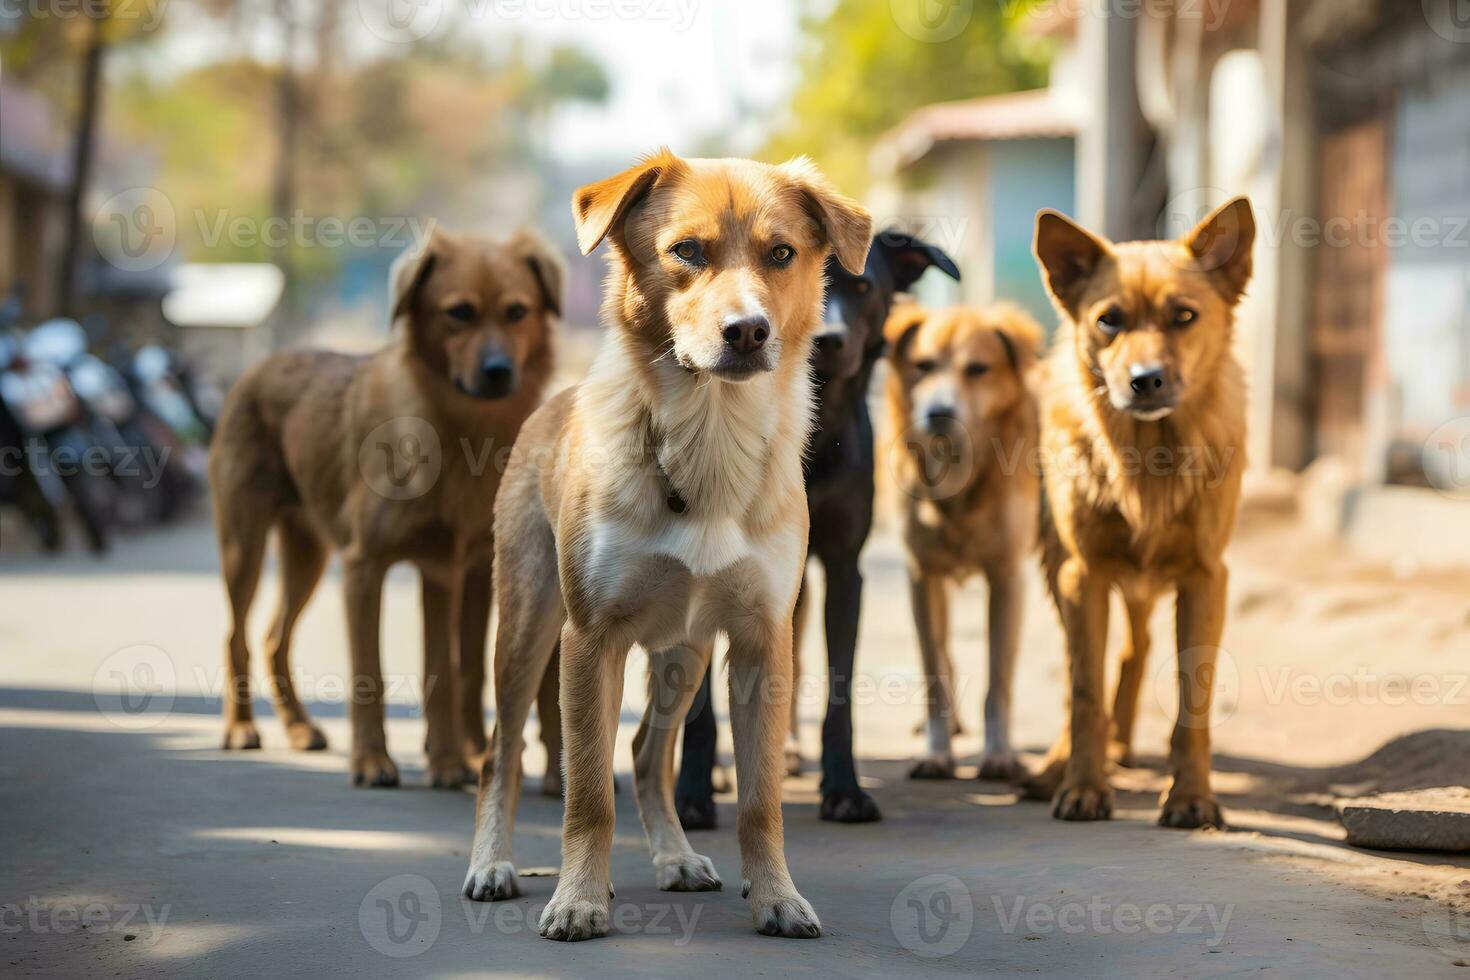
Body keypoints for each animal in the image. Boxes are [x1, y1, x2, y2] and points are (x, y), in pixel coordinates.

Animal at [210, 226, 564, 787]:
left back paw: (299, 729)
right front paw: (373, 761)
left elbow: (450, 671)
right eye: (458, 312)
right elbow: (368, 674)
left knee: (272, 639)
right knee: (236, 638)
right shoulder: (364, 567)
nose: (497, 372)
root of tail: (266, 362)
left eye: (517, 311)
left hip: (307, 556)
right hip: (243, 546)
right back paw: (241, 728)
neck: (462, 438)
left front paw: (448, 764)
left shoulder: (449, 570)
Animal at [461, 147, 870, 940]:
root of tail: (554, 399)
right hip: (526, 628)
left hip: (685, 655)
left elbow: (759, 801)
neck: (708, 440)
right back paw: (492, 865)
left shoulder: (762, 641)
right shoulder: (591, 640)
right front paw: (579, 899)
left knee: (649, 754)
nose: (748, 331)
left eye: (782, 254)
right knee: (502, 753)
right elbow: (589, 792)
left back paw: (675, 857)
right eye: (686, 251)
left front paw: (776, 896)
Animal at [673, 230, 958, 828]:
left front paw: (844, 789)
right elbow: (698, 704)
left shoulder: (846, 569)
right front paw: (690, 793)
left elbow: (839, 692)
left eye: (863, 285)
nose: (828, 339)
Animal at [882, 302, 1046, 787]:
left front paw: (999, 754)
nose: (940, 412)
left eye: (978, 369)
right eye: (923, 366)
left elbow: (998, 682)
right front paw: (937, 754)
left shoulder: (1007, 579)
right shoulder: (921, 576)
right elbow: (934, 674)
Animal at [1023, 193, 1252, 828]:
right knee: (1091, 674)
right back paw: (1064, 763)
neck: (1149, 459)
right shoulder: (1083, 576)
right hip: (1061, 570)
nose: (1144, 381)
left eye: (1184, 316)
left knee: (1136, 650)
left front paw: (1192, 796)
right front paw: (1083, 786)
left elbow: (1194, 701)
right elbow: (1083, 693)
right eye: (1110, 320)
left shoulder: (1206, 579)